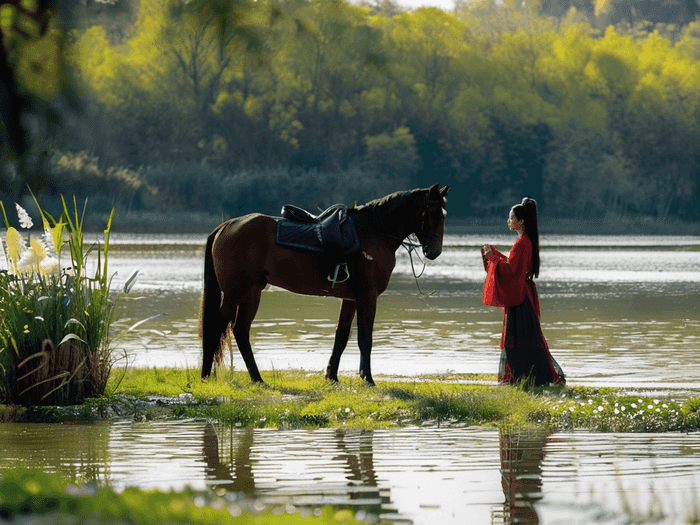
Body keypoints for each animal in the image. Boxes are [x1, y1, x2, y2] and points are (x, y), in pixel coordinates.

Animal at [200, 183, 452, 384]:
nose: (435, 252)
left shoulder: (350, 299)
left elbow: (341, 337)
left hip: (251, 292)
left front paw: (332, 375)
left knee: (241, 331)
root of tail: (228, 225)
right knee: (216, 327)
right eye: (432, 213)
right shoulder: (367, 296)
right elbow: (365, 339)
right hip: (235, 293)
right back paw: (206, 375)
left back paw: (257, 378)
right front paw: (368, 378)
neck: (373, 233)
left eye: (444, 214)